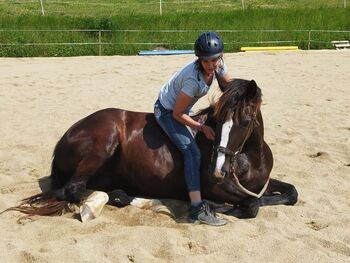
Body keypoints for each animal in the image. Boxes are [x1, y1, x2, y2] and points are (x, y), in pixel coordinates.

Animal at [4, 78, 296, 221]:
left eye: (245, 121)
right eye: (217, 118)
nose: (219, 170)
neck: (250, 158)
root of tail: (68, 134)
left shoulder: (260, 183)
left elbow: (290, 193)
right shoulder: (217, 187)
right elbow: (251, 204)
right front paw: (213, 207)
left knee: (103, 192)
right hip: (104, 141)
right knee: (72, 190)